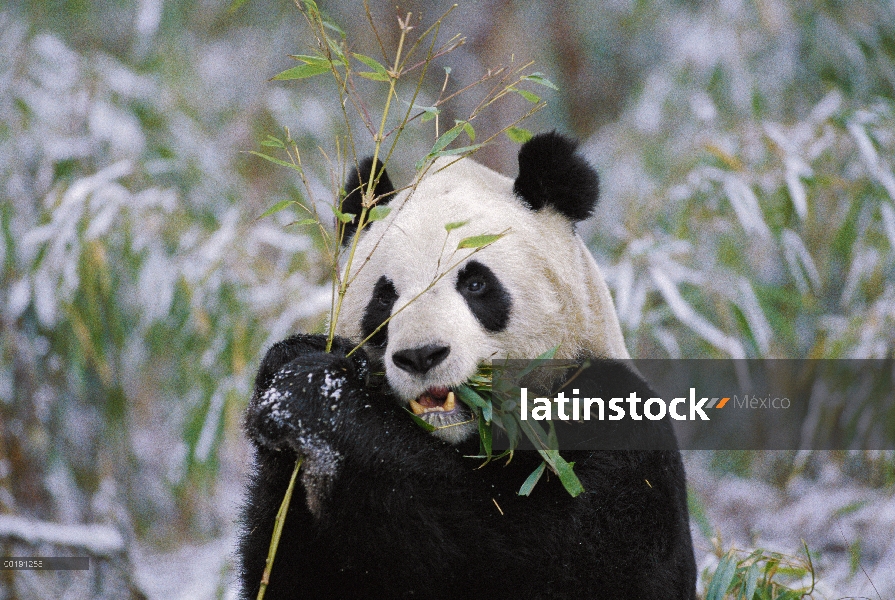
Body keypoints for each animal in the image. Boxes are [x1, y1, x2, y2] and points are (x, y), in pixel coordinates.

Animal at [240, 132, 700, 600]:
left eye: (476, 283)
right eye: (384, 297)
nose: (421, 355)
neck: (468, 438)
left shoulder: (616, 427)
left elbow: (545, 560)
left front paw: (320, 399)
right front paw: (290, 371)